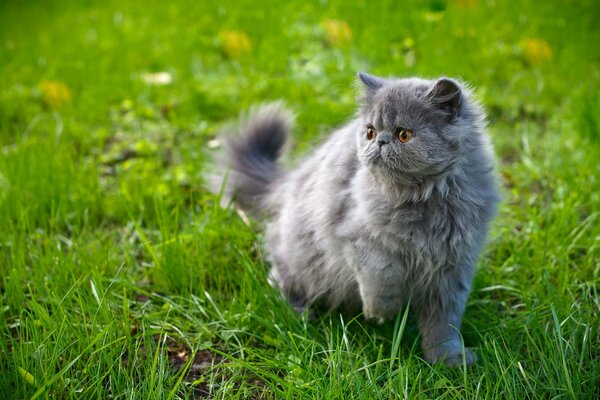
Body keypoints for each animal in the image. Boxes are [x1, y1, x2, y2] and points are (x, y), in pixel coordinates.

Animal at [223, 72, 500, 366]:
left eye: (404, 135)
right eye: (370, 132)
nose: (380, 141)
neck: (425, 200)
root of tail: (290, 181)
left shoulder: (452, 267)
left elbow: (443, 324)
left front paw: (449, 360)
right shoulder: (361, 241)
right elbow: (382, 281)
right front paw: (381, 313)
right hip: (302, 258)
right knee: (278, 277)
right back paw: (301, 313)